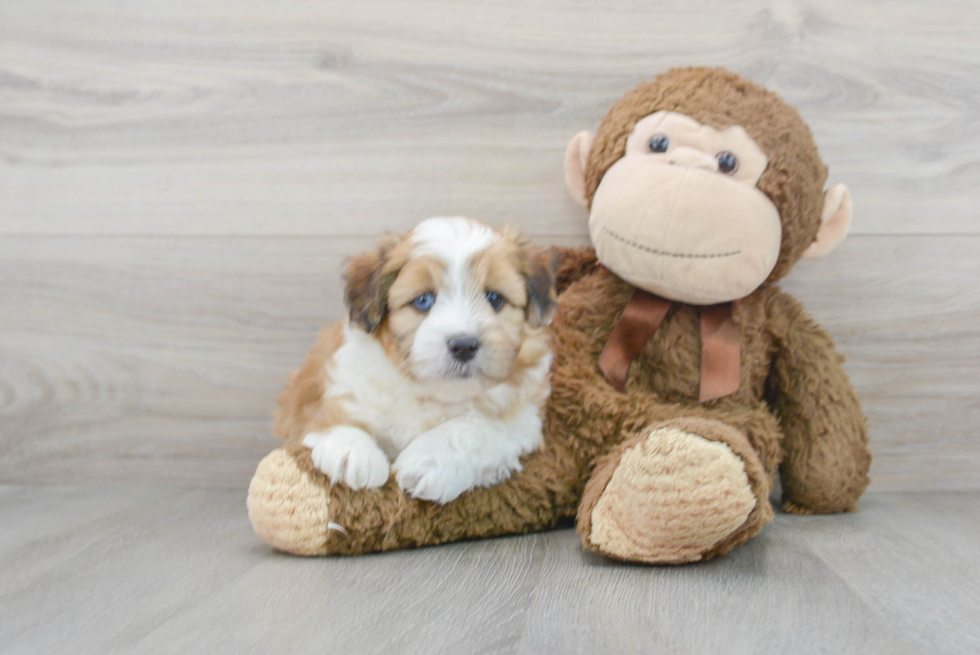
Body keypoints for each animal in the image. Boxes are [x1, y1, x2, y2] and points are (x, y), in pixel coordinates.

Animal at [274, 218, 560, 504]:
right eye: (423, 300)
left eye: (494, 298)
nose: (464, 345)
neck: (428, 393)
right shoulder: (335, 393)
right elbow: (336, 416)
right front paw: (352, 450)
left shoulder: (524, 422)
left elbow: (478, 426)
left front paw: (432, 460)